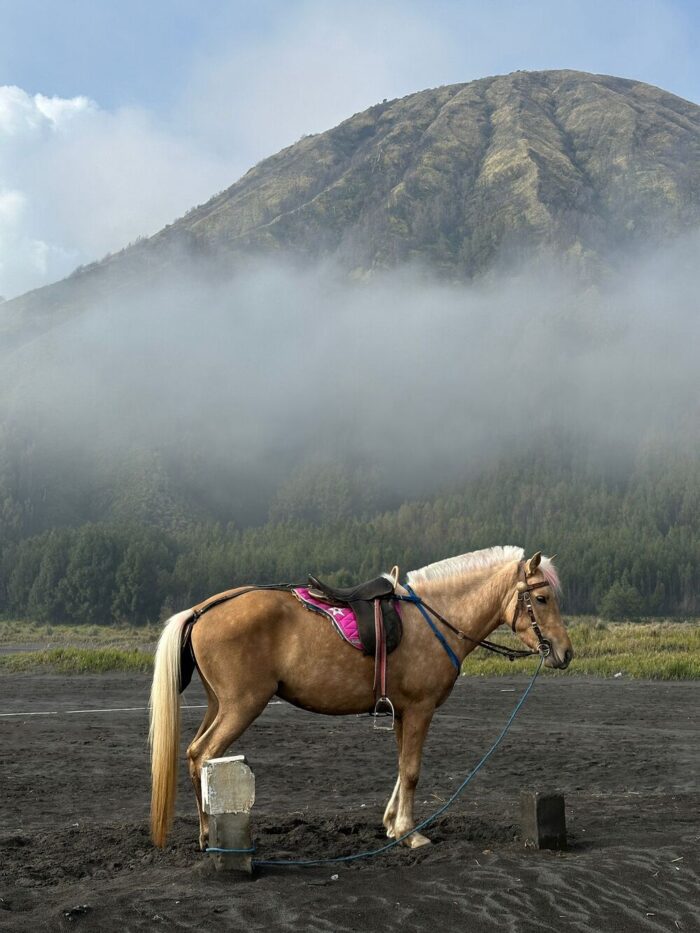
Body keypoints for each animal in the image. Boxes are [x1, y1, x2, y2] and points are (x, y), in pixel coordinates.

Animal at [149, 545, 573, 851]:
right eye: (543, 599)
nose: (565, 652)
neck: (435, 620)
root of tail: (201, 610)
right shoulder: (420, 710)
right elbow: (412, 770)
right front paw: (411, 834)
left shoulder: (403, 712)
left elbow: (401, 768)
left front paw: (392, 825)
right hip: (241, 705)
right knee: (204, 755)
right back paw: (212, 836)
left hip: (219, 705)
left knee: (193, 754)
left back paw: (207, 834)